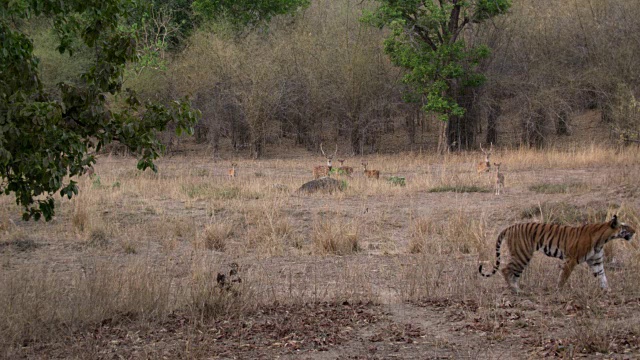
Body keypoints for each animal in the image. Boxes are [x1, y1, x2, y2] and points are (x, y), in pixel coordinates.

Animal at [480, 214, 636, 292]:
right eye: (625, 226)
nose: (635, 231)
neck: (603, 239)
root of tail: (509, 227)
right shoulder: (571, 259)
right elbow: (563, 277)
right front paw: (559, 290)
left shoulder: (596, 261)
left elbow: (602, 276)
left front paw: (607, 290)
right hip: (522, 254)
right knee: (506, 269)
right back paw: (515, 290)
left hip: (521, 255)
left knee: (513, 272)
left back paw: (516, 288)